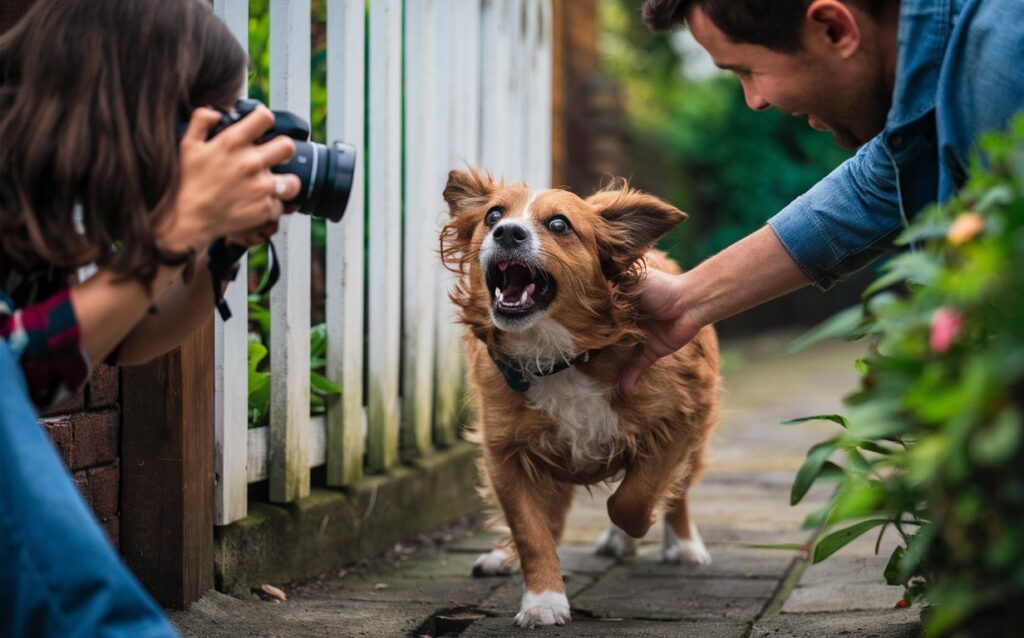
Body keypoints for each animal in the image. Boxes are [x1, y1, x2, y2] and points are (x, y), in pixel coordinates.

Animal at [440, 168, 720, 630]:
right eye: (492, 215)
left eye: (559, 224)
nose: (507, 232)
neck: (559, 358)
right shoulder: (506, 453)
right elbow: (532, 531)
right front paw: (544, 599)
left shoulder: (678, 423)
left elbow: (633, 498)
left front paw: (633, 529)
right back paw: (506, 556)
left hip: (696, 435)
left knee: (677, 491)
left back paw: (681, 545)